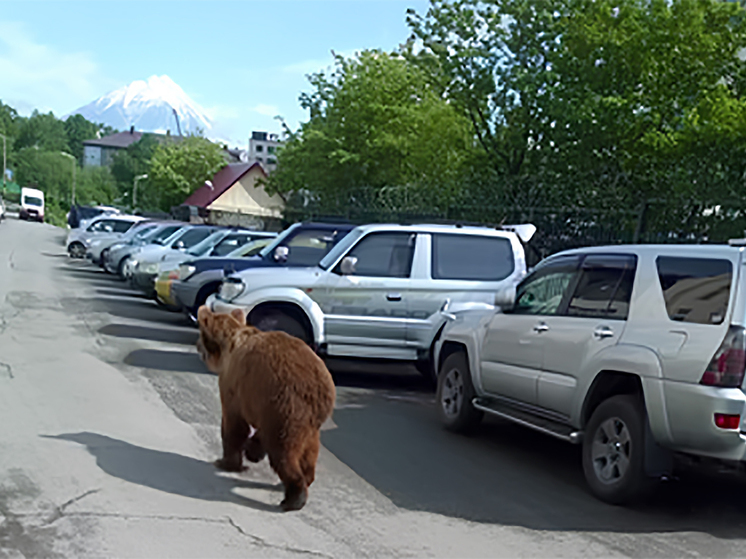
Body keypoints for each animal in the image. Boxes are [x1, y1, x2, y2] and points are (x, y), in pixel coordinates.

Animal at [195, 306, 334, 512]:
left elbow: (234, 425)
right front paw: (252, 450)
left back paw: (293, 497)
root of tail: (320, 388)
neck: (229, 347)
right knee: (310, 450)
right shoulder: (262, 405)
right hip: (311, 420)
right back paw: (306, 478)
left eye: (200, 335)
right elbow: (257, 432)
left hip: (289, 405)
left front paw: (226, 462)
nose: (197, 346)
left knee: (283, 451)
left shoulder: (235, 386)